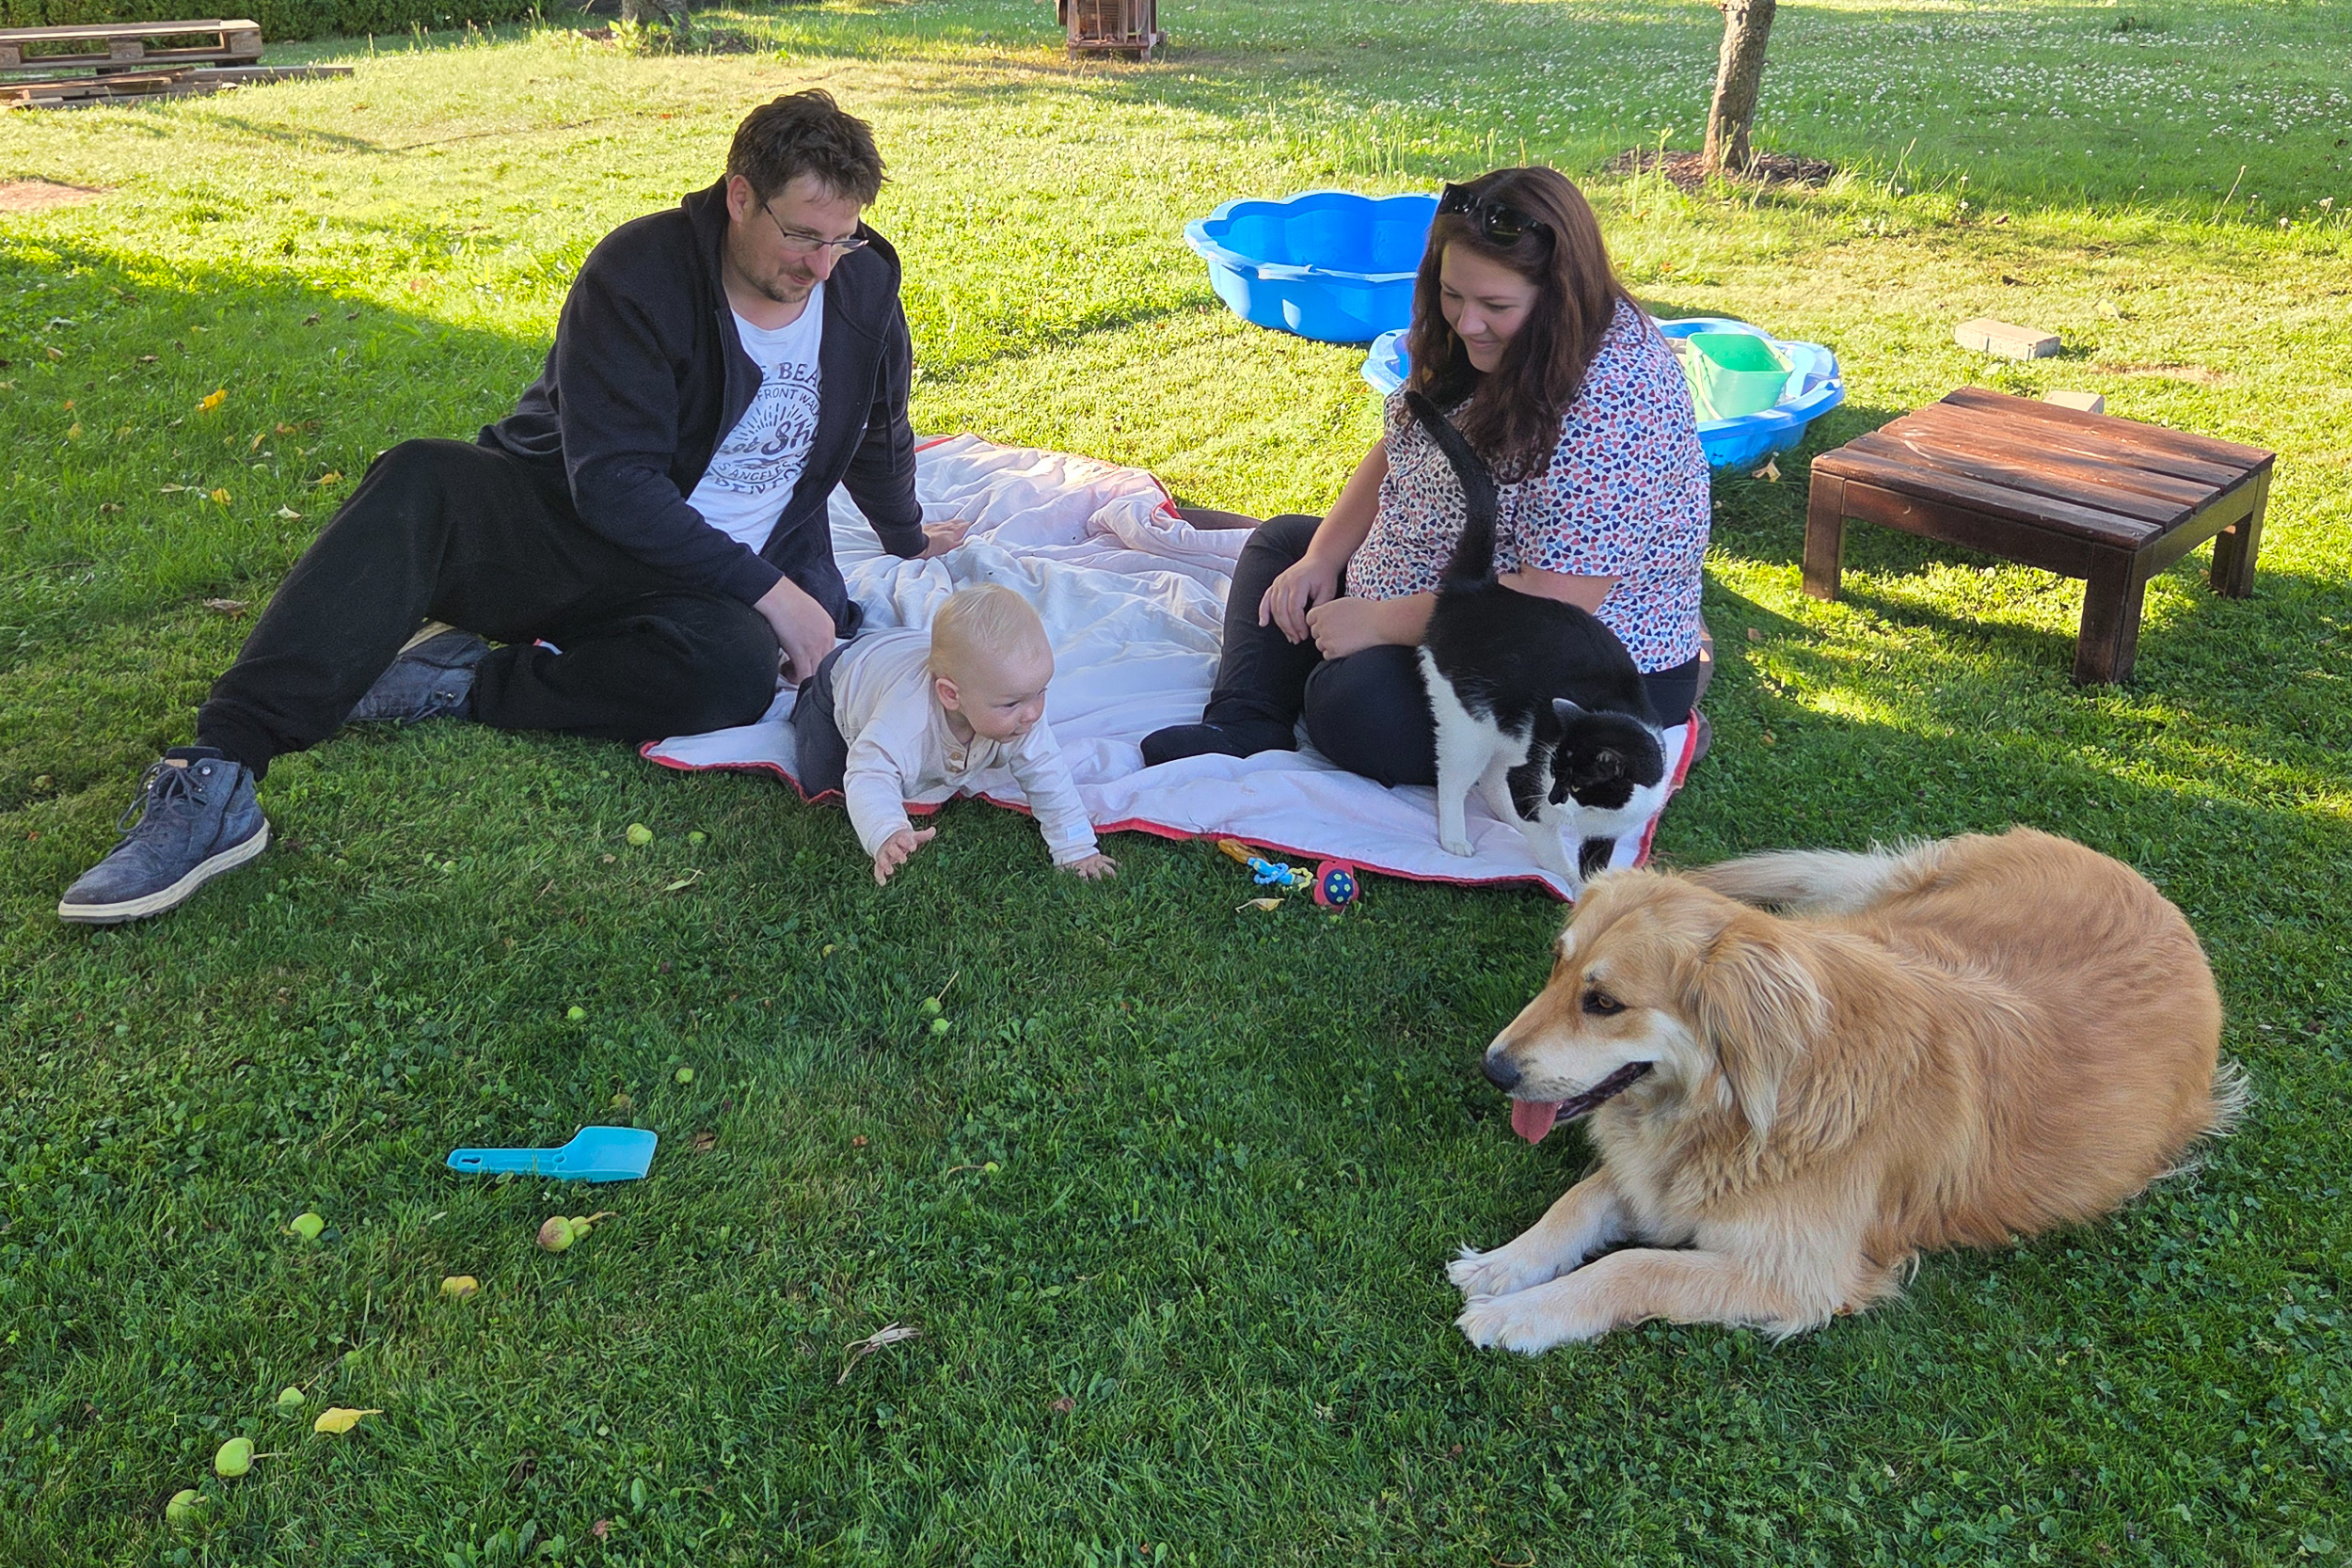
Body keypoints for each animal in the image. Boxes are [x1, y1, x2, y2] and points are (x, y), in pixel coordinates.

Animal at [1405, 390, 1672, 896]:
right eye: (1557, 773)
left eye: (1578, 781)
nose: (1553, 795)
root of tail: (1480, 588)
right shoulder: (1533, 770)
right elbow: (1550, 843)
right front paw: (1567, 879)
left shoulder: (1604, 824)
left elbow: (1596, 861)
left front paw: (1596, 890)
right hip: (1467, 722)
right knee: (1457, 778)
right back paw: (1457, 837)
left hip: (1507, 731)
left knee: (1492, 778)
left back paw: (1506, 819)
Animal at [1449, 827, 2240, 1351]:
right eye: (1556, 967)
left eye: (1604, 1002)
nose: (1493, 1068)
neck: (1740, 1110)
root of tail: (2143, 885)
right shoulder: (1656, 1180)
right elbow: (1580, 1201)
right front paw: (1504, 1264)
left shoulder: (1799, 1277)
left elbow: (1631, 1264)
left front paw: (1523, 1313)